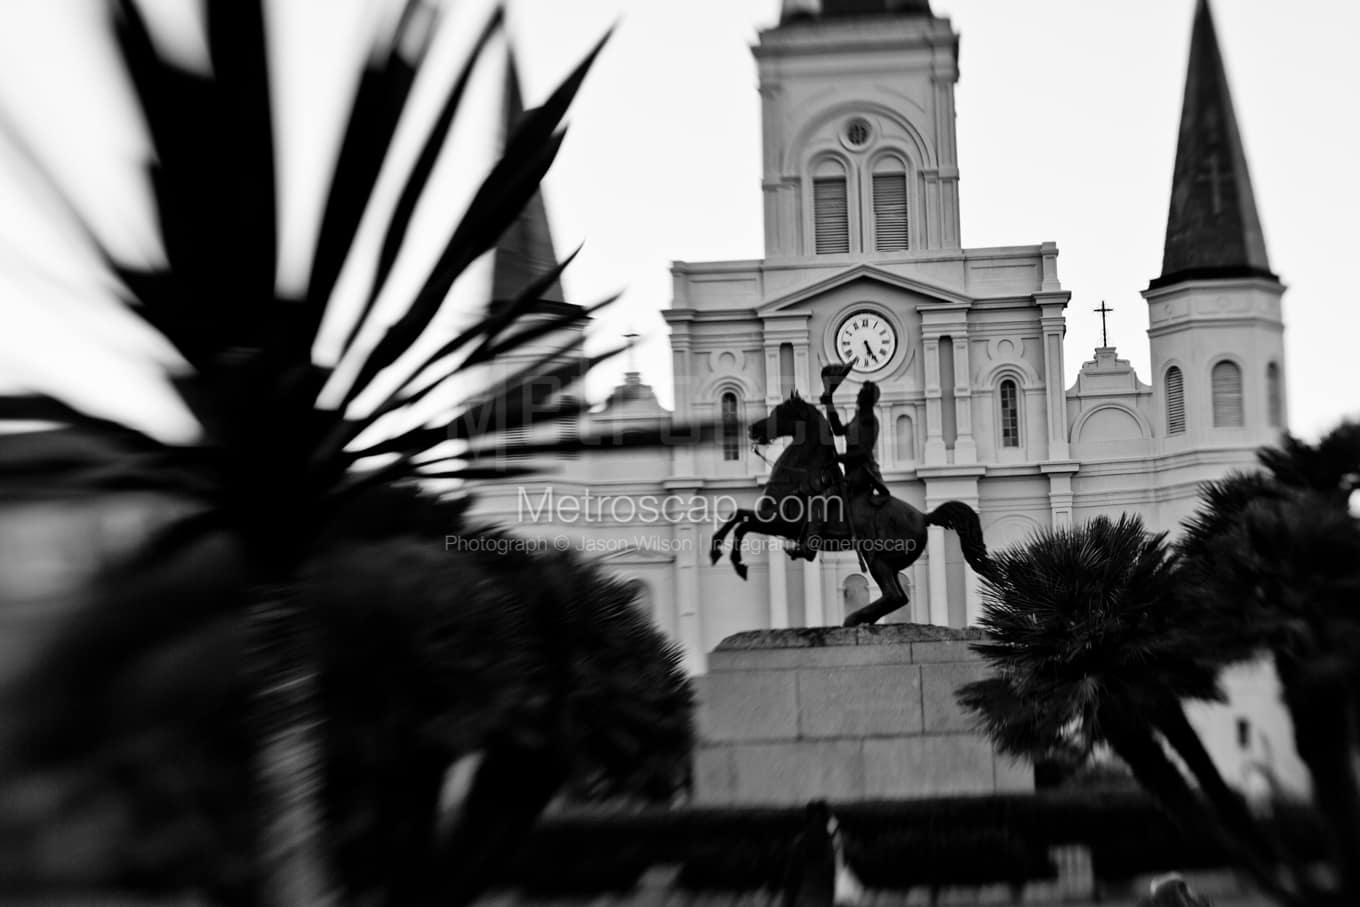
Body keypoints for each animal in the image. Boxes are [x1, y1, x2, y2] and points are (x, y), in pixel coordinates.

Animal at [707, 394, 995, 628]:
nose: (751, 428)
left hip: (878, 559)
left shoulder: (780, 522)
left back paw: (854, 618)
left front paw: (735, 561)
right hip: (887, 562)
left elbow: (742, 522)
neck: (799, 475)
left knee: (894, 595)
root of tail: (923, 516)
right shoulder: (775, 522)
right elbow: (737, 515)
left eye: (781, 411)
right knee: (896, 596)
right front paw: (717, 549)